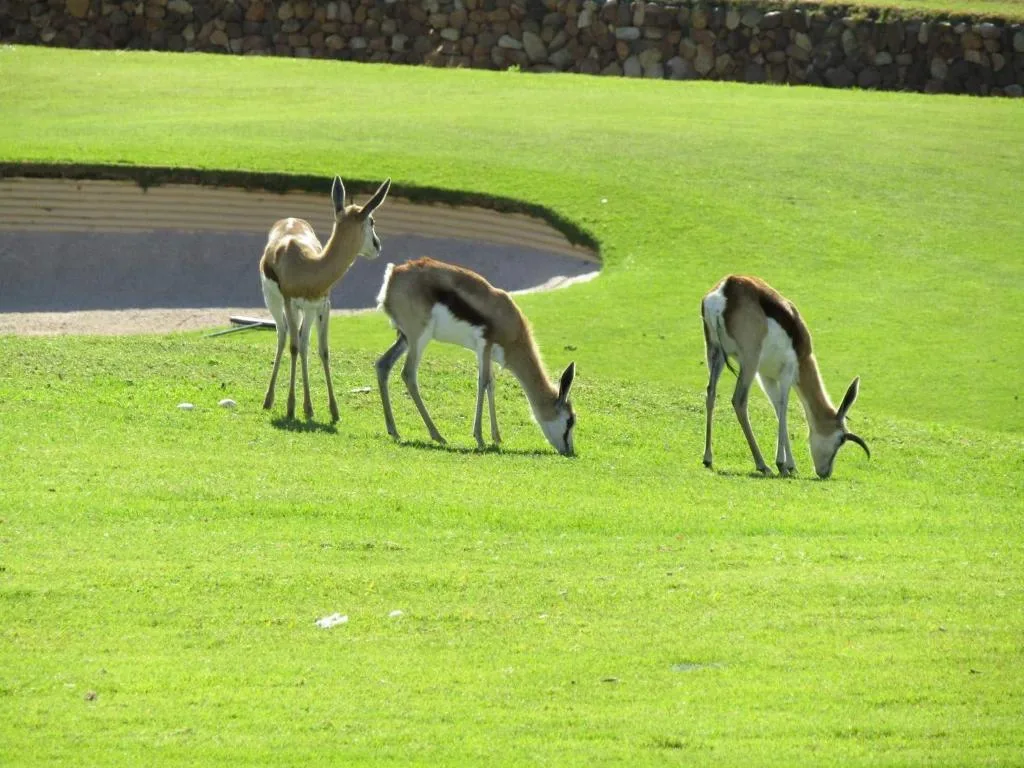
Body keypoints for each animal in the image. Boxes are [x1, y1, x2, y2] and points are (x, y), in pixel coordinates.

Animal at [260, 175, 391, 421]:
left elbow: (323, 350)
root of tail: (289, 219)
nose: (378, 245)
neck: (310, 267)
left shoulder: (323, 306)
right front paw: (290, 407)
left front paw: (333, 410)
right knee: (283, 337)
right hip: (274, 302)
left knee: (303, 343)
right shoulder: (290, 303)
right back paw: (269, 400)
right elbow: (293, 347)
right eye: (372, 221)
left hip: (308, 311)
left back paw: (308, 407)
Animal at [375, 257, 577, 456]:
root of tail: (393, 274)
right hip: (419, 337)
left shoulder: (487, 353)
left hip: (404, 338)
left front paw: (496, 438)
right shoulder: (484, 345)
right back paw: (437, 436)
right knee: (408, 374)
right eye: (570, 420)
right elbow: (483, 383)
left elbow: (491, 384)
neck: (509, 321)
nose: (570, 451)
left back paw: (394, 431)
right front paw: (480, 438)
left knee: (383, 365)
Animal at [701, 275, 870, 478]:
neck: (801, 351)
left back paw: (708, 459)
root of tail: (724, 290)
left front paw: (791, 466)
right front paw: (782, 464)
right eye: (840, 440)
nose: (825, 473)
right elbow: (783, 408)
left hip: (715, 352)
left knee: (710, 394)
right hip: (749, 361)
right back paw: (763, 465)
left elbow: (776, 408)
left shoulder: (766, 377)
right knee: (739, 401)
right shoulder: (788, 374)